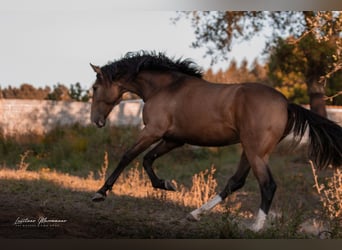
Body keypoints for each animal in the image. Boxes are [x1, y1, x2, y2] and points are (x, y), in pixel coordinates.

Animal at [89, 51, 342, 232]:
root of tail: (286, 103)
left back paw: (255, 227)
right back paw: (195, 214)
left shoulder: (153, 131)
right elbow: (147, 159)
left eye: (94, 87)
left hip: (255, 152)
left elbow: (129, 156)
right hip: (250, 150)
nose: (96, 121)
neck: (164, 88)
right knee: (235, 182)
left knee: (267, 184)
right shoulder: (173, 139)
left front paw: (100, 193)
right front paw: (166, 184)